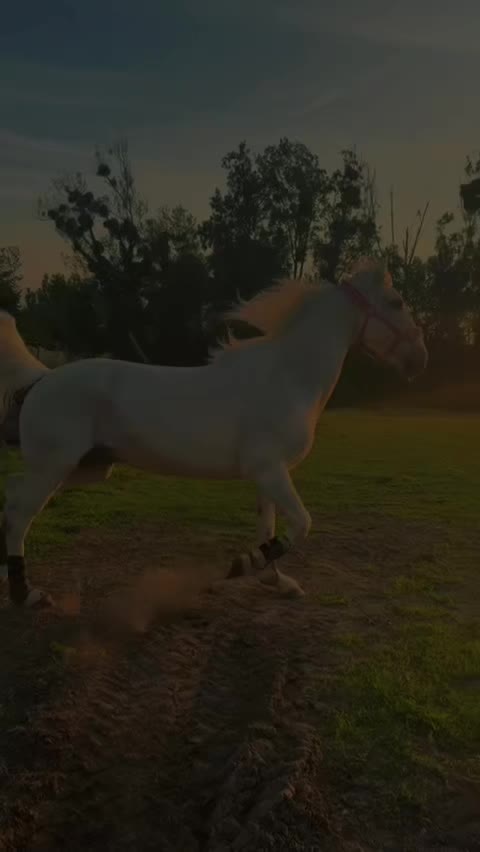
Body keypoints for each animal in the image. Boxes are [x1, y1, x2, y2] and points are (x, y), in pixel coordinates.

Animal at [0, 257, 427, 609]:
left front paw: (275, 581)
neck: (289, 377)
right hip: (55, 466)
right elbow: (301, 524)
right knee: (20, 514)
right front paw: (242, 566)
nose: (420, 360)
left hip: (86, 468)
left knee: (11, 500)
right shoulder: (269, 470)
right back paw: (27, 595)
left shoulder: (267, 474)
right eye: (396, 303)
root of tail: (41, 380)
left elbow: (269, 526)